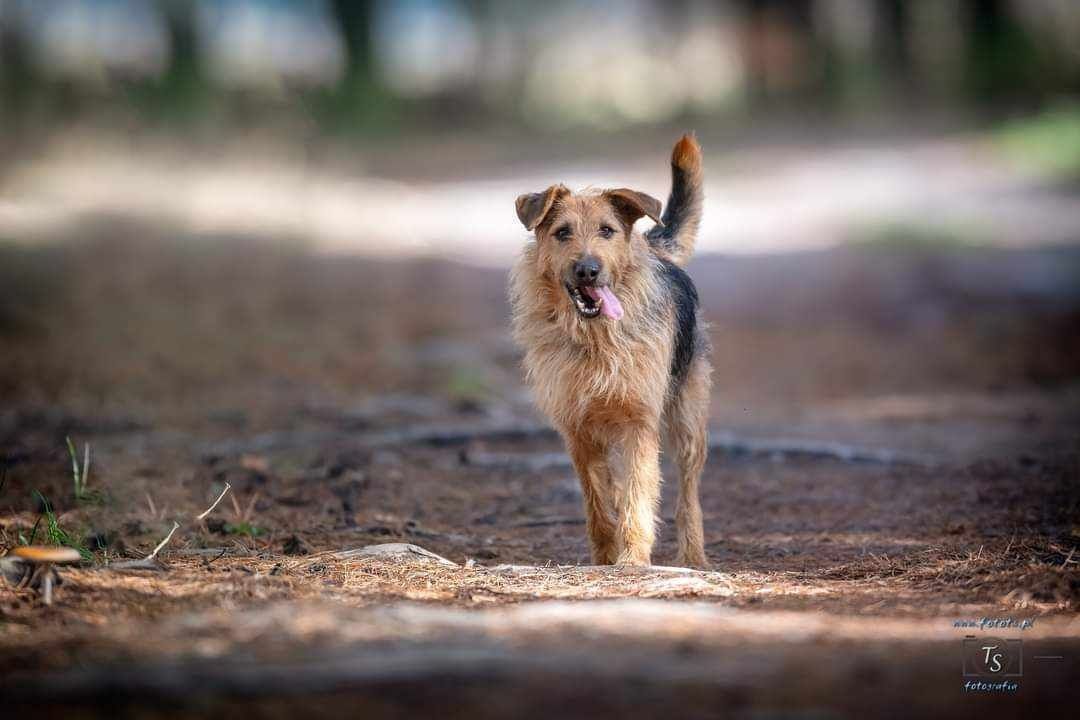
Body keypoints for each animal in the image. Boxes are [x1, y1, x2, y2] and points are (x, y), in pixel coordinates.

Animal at [507, 134, 708, 569]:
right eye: (562, 232)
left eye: (607, 230)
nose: (588, 269)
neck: (595, 339)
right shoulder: (577, 429)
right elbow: (598, 500)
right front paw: (605, 556)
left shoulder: (638, 424)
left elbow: (637, 497)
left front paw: (632, 558)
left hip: (688, 421)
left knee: (688, 493)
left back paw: (693, 556)